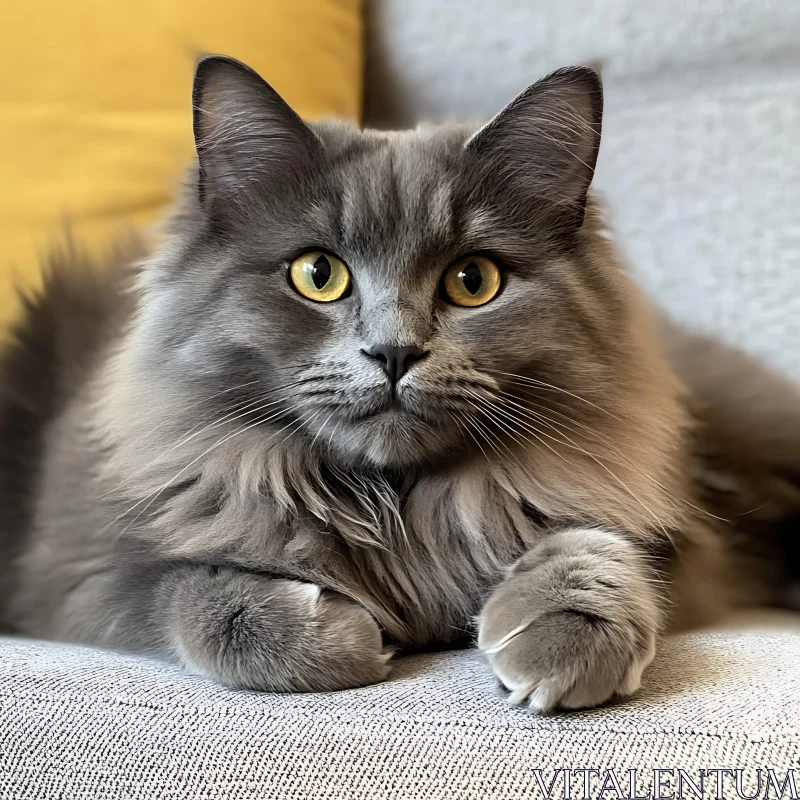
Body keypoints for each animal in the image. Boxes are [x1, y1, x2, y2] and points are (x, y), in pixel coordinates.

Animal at [0, 53, 796, 708]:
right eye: (317, 274)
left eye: (473, 281)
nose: (393, 352)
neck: (396, 505)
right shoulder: (81, 569)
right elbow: (185, 589)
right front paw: (344, 638)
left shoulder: (645, 514)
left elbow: (602, 550)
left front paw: (567, 637)